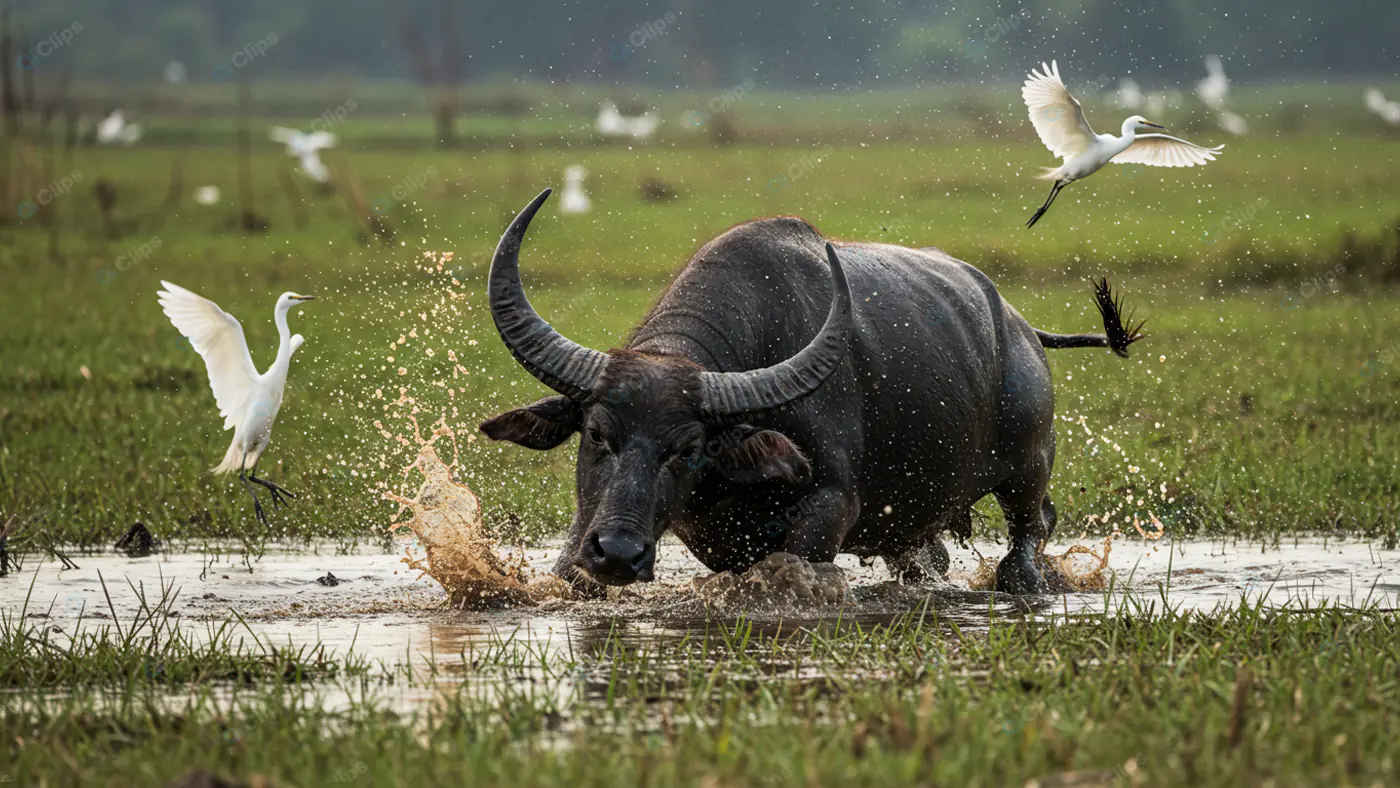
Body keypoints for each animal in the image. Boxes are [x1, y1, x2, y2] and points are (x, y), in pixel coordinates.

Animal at [480, 189, 1144, 594]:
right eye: (596, 434)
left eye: (689, 448)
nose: (619, 553)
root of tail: (1023, 330)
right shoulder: (592, 522)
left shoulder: (831, 505)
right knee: (927, 557)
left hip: (1027, 464)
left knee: (1030, 530)